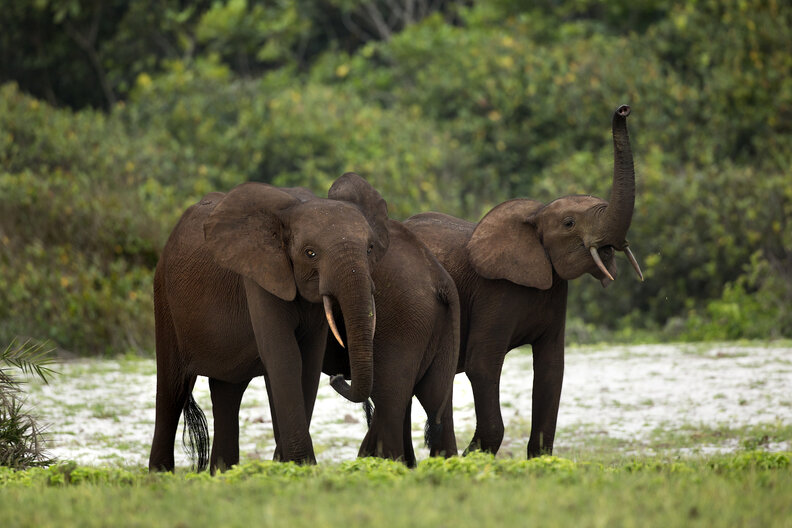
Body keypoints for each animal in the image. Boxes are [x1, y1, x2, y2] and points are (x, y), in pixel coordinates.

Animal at [148, 175, 389, 472]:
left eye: (370, 249)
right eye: (310, 253)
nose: (338, 377)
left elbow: (308, 362)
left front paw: (285, 465)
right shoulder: (260, 274)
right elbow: (284, 357)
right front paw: (301, 466)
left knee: (227, 391)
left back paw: (223, 473)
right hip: (164, 297)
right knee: (172, 389)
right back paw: (160, 475)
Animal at [403, 105, 643, 458]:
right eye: (569, 223)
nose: (623, 110)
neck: (536, 216)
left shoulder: (555, 291)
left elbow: (551, 368)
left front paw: (537, 461)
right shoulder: (494, 292)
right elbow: (482, 364)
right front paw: (474, 457)